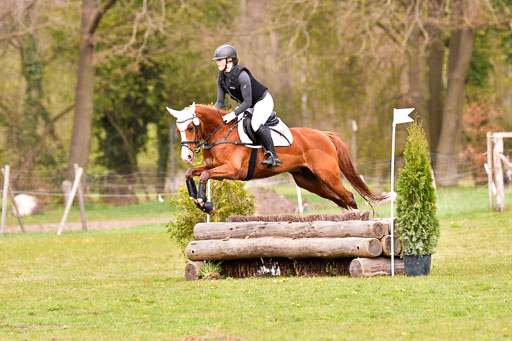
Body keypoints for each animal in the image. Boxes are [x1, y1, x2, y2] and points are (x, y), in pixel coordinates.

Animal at [168, 102, 384, 214]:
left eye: (190, 128)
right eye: (178, 130)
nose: (187, 156)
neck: (221, 132)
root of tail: (324, 135)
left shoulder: (232, 170)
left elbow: (204, 175)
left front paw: (205, 203)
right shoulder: (215, 168)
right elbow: (192, 173)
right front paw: (197, 200)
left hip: (327, 175)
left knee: (348, 196)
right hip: (307, 180)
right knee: (339, 199)